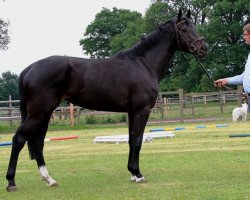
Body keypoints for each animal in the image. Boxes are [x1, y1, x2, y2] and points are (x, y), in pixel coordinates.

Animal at [6, 9, 209, 191]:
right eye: (184, 29)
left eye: (194, 26)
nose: (203, 48)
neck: (143, 64)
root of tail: (30, 68)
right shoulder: (142, 111)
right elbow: (138, 141)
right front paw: (138, 174)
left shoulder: (132, 112)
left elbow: (131, 140)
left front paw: (132, 173)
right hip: (39, 113)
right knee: (18, 139)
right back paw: (11, 182)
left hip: (44, 114)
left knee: (38, 143)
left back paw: (49, 179)